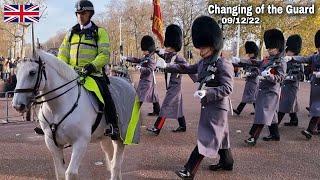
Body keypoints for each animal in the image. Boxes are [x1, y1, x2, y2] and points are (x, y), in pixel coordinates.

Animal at [11, 50, 139, 179]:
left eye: (32, 72)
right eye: (16, 71)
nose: (17, 105)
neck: (58, 107)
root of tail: (126, 82)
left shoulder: (81, 141)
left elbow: (70, 173)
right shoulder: (52, 142)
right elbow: (60, 173)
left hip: (121, 137)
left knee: (116, 164)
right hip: (105, 138)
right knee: (112, 161)